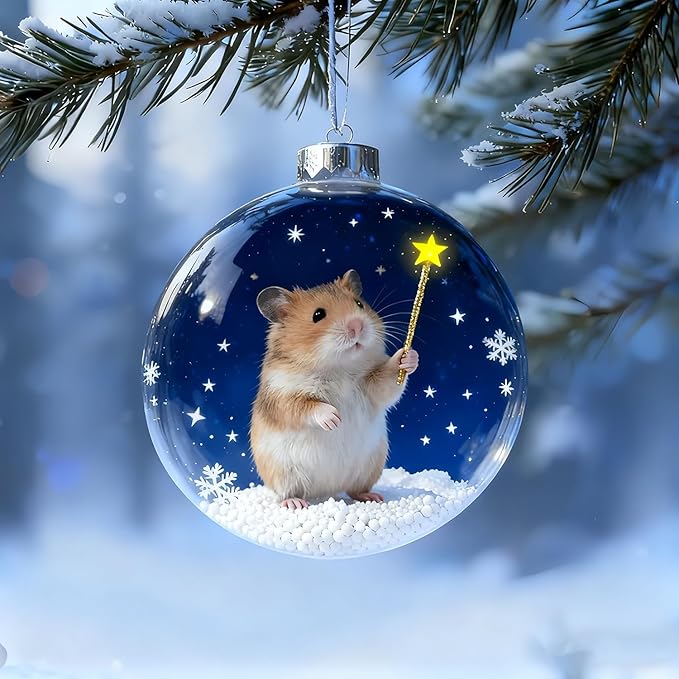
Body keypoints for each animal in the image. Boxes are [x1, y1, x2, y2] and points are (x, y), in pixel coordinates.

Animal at [250, 269, 419, 509]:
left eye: (359, 304)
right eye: (318, 315)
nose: (357, 325)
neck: (338, 367)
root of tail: (326, 491)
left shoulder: (372, 385)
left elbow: (388, 381)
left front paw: (409, 357)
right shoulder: (281, 394)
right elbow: (306, 406)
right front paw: (334, 420)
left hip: (370, 466)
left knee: (355, 490)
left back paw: (372, 497)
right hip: (283, 472)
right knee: (287, 493)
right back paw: (295, 503)